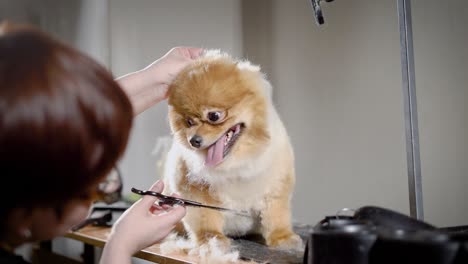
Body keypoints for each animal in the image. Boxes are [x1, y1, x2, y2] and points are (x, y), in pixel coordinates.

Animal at [163, 50, 302, 252]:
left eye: (214, 116)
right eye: (188, 122)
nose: (194, 141)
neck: (235, 164)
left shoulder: (276, 184)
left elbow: (277, 214)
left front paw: (282, 237)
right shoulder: (193, 189)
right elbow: (204, 217)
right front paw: (211, 239)